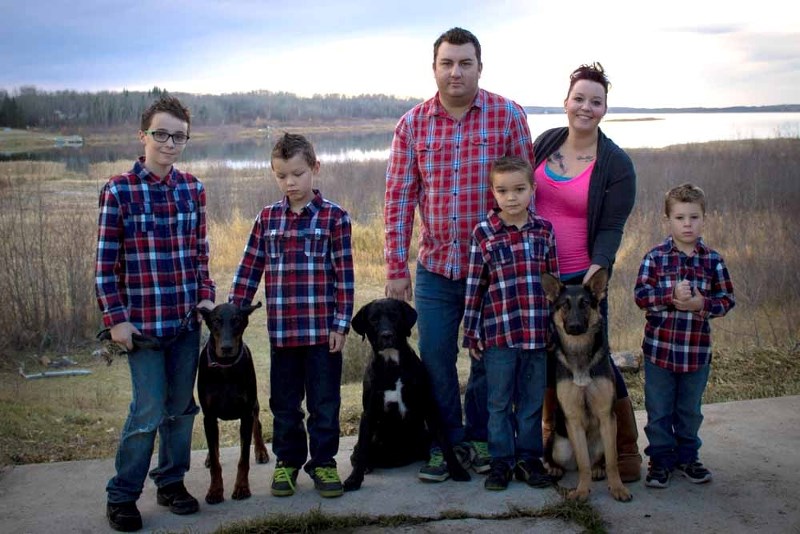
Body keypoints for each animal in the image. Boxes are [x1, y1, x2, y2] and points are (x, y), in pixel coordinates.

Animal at [198, 304, 270, 504]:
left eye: (237, 320)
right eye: (215, 320)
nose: (226, 347)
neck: (225, 368)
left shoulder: (246, 412)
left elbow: (243, 458)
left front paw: (242, 487)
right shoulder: (209, 415)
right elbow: (216, 460)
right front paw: (215, 490)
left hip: (254, 405)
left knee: (257, 424)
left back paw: (261, 451)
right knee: (213, 445)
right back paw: (209, 456)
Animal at [342, 300, 468, 492]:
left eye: (394, 315)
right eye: (373, 319)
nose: (386, 335)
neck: (393, 366)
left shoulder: (429, 405)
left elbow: (444, 441)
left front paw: (456, 470)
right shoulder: (368, 413)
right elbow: (363, 448)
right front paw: (354, 479)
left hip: (424, 435)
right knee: (358, 453)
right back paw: (366, 466)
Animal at [540, 270, 636, 504]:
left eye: (584, 303)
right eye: (564, 305)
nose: (574, 326)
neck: (579, 353)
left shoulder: (606, 416)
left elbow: (612, 461)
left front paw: (618, 488)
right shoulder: (573, 419)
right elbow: (583, 463)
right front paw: (582, 491)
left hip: (606, 435)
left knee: (599, 460)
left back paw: (598, 468)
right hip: (560, 445)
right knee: (571, 460)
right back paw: (554, 468)